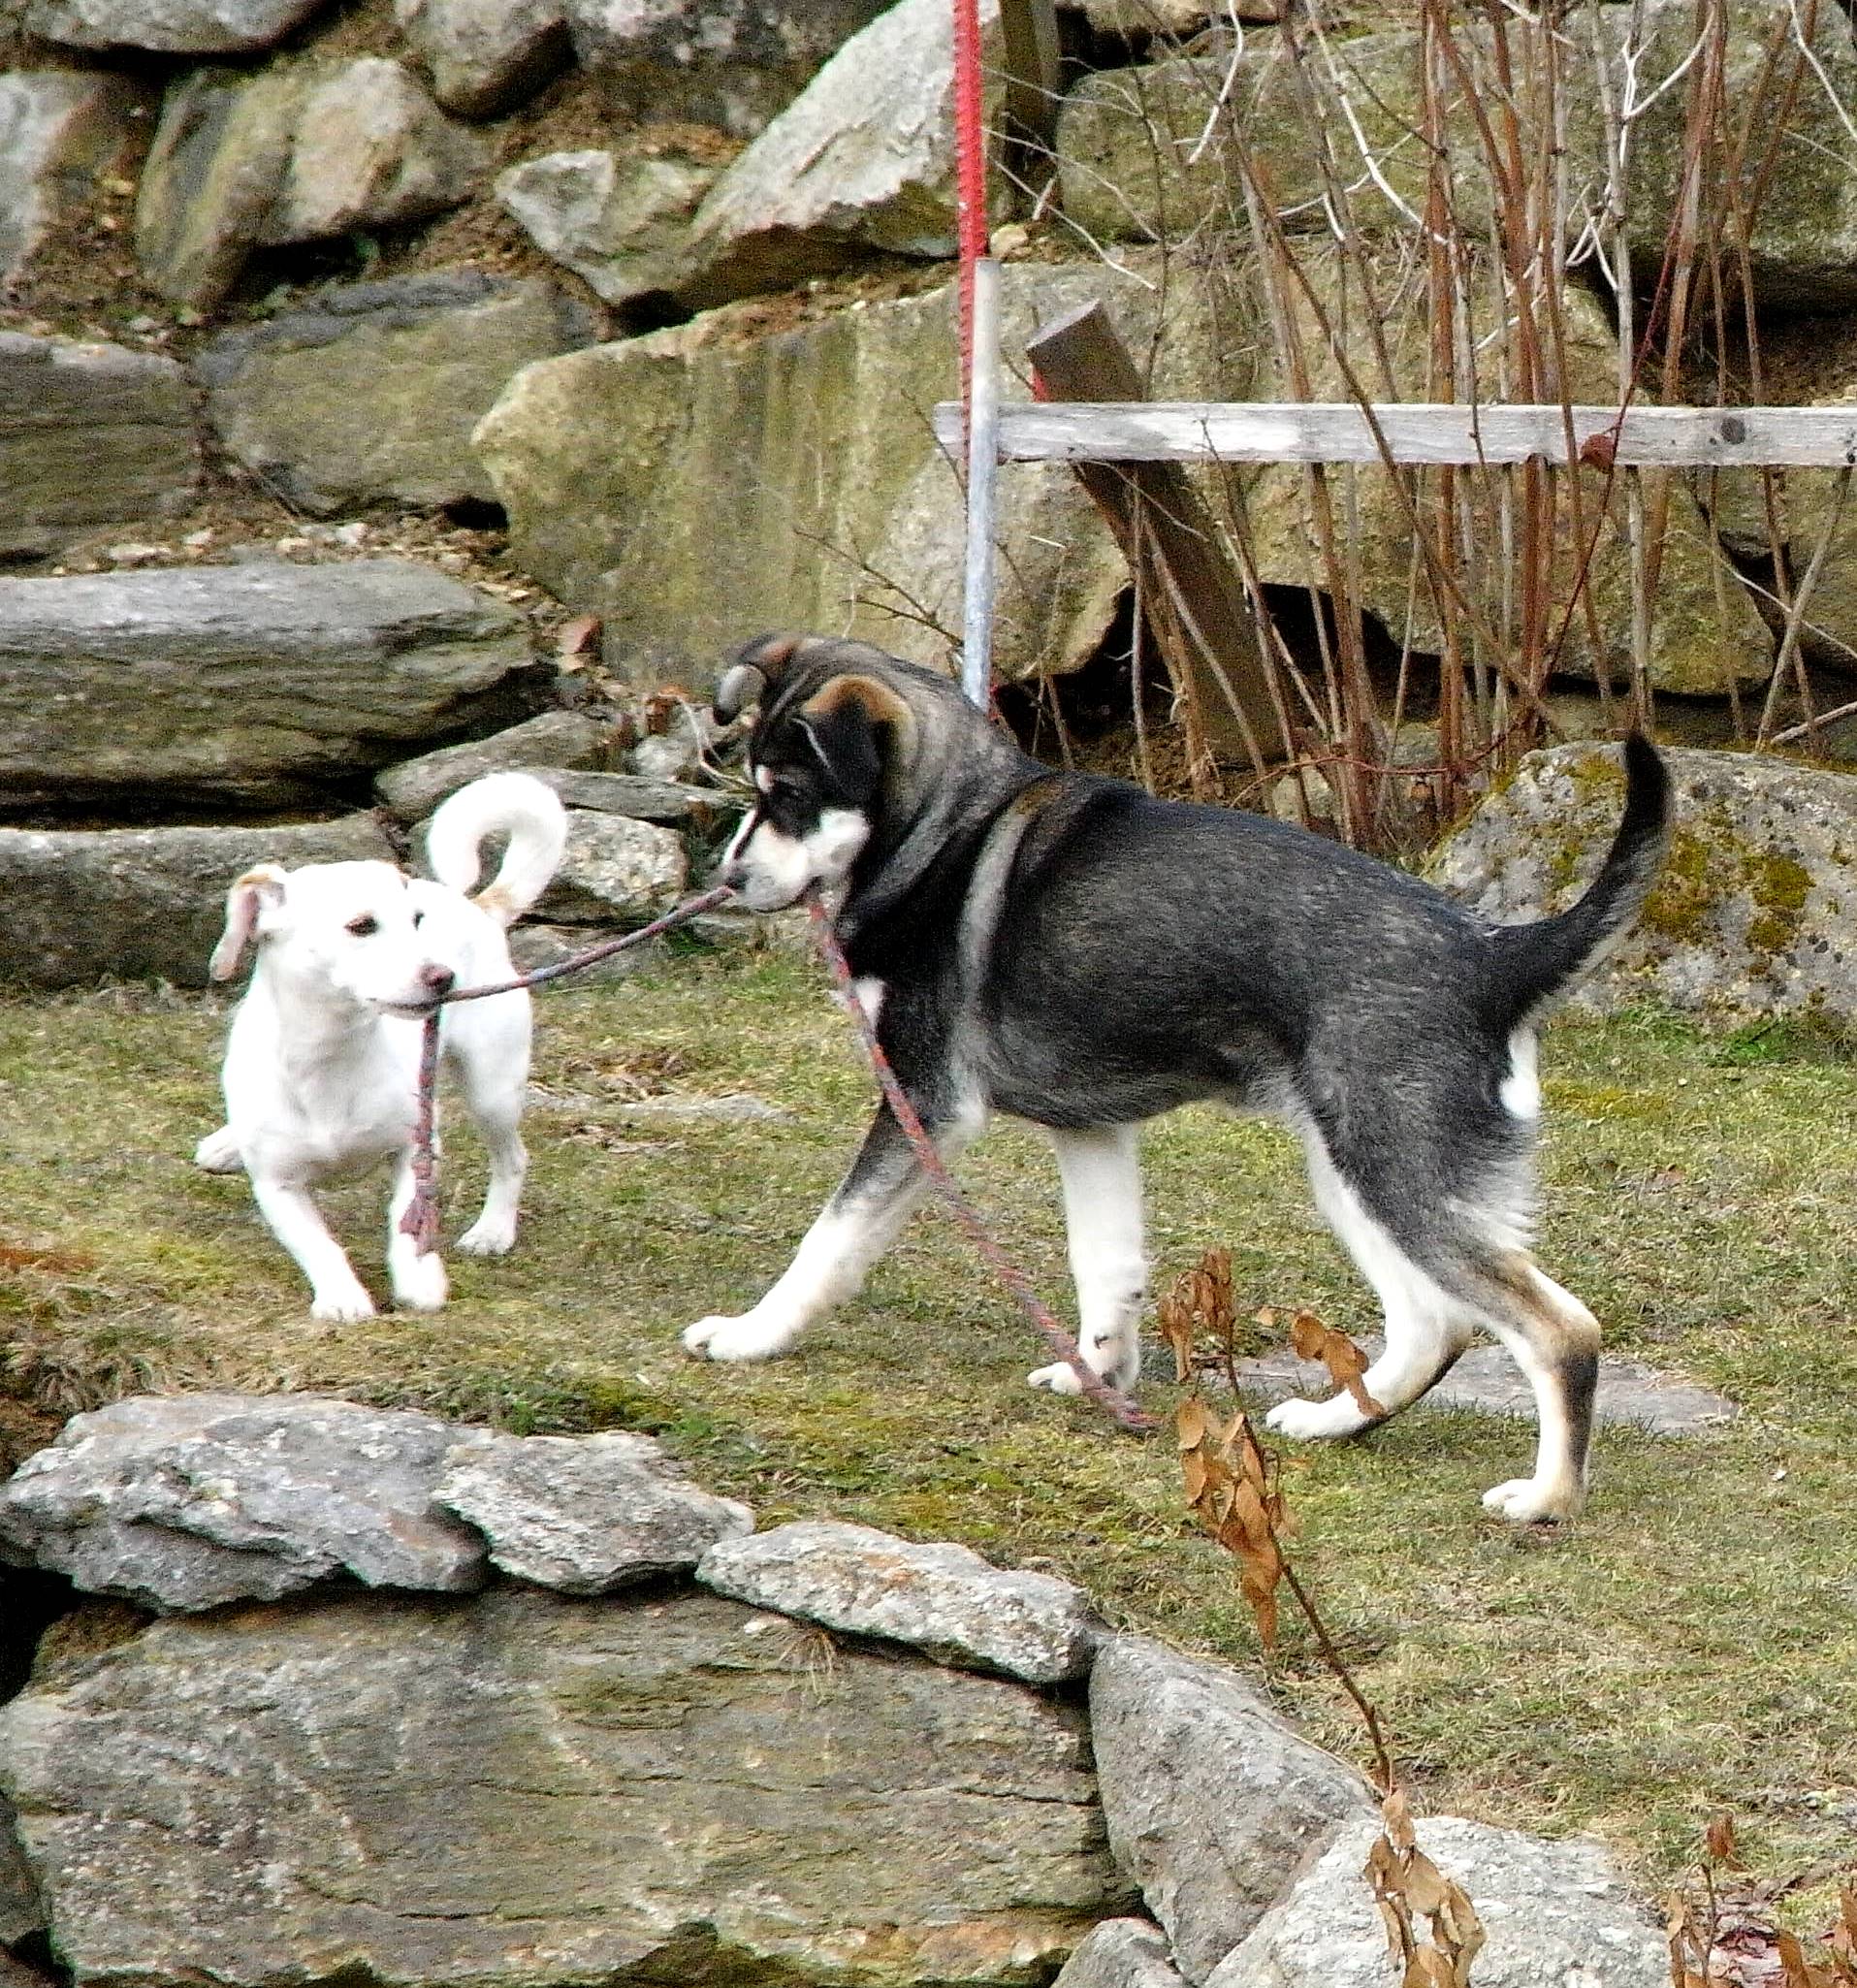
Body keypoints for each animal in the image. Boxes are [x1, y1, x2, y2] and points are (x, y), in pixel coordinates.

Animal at [195, 771, 568, 1321]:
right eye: (361, 926)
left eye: (416, 921)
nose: (444, 977)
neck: (330, 1056)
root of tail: (476, 908)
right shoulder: (277, 1185)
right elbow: (315, 1242)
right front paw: (342, 1297)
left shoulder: (415, 1151)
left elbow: (407, 1221)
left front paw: (420, 1279)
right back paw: (225, 1144)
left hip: (492, 1091)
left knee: (512, 1159)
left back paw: (493, 1230)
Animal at [683, 633, 1673, 1522]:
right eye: (752, 788)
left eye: (791, 796)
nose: (727, 880)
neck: (945, 832)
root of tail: (1495, 956)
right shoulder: (1089, 1129)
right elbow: (1105, 1264)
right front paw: (1099, 1373)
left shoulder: (922, 1103)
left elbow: (829, 1240)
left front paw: (749, 1336)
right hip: (1354, 1171)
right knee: (1435, 1324)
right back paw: (1331, 1425)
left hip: (1395, 1173)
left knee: (1557, 1331)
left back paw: (1546, 1498)